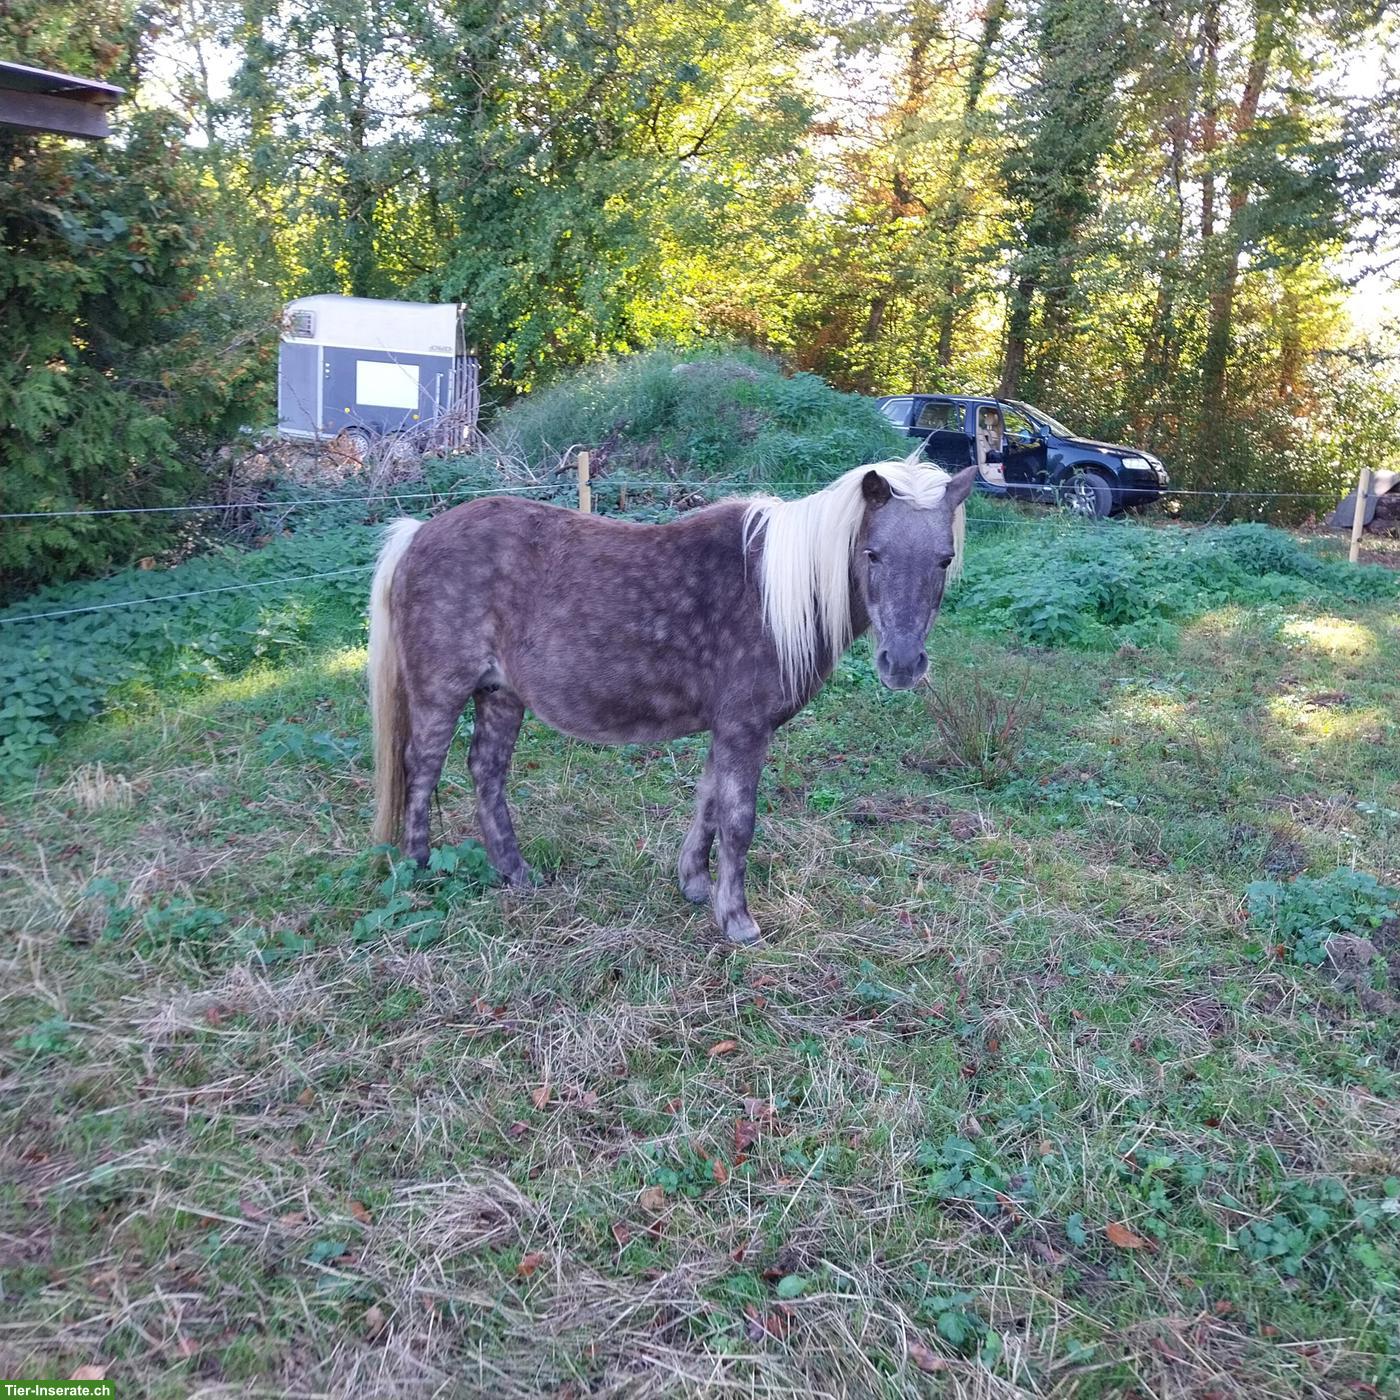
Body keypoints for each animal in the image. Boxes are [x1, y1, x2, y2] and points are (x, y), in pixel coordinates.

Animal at [367, 457, 977, 945]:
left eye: (945, 559)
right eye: (872, 554)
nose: (903, 663)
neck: (772, 594)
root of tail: (418, 533)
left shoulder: (726, 729)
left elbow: (707, 803)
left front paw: (695, 885)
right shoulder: (745, 729)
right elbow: (738, 821)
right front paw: (737, 920)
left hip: (500, 695)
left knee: (486, 770)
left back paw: (516, 874)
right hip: (441, 693)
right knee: (422, 769)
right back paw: (418, 871)